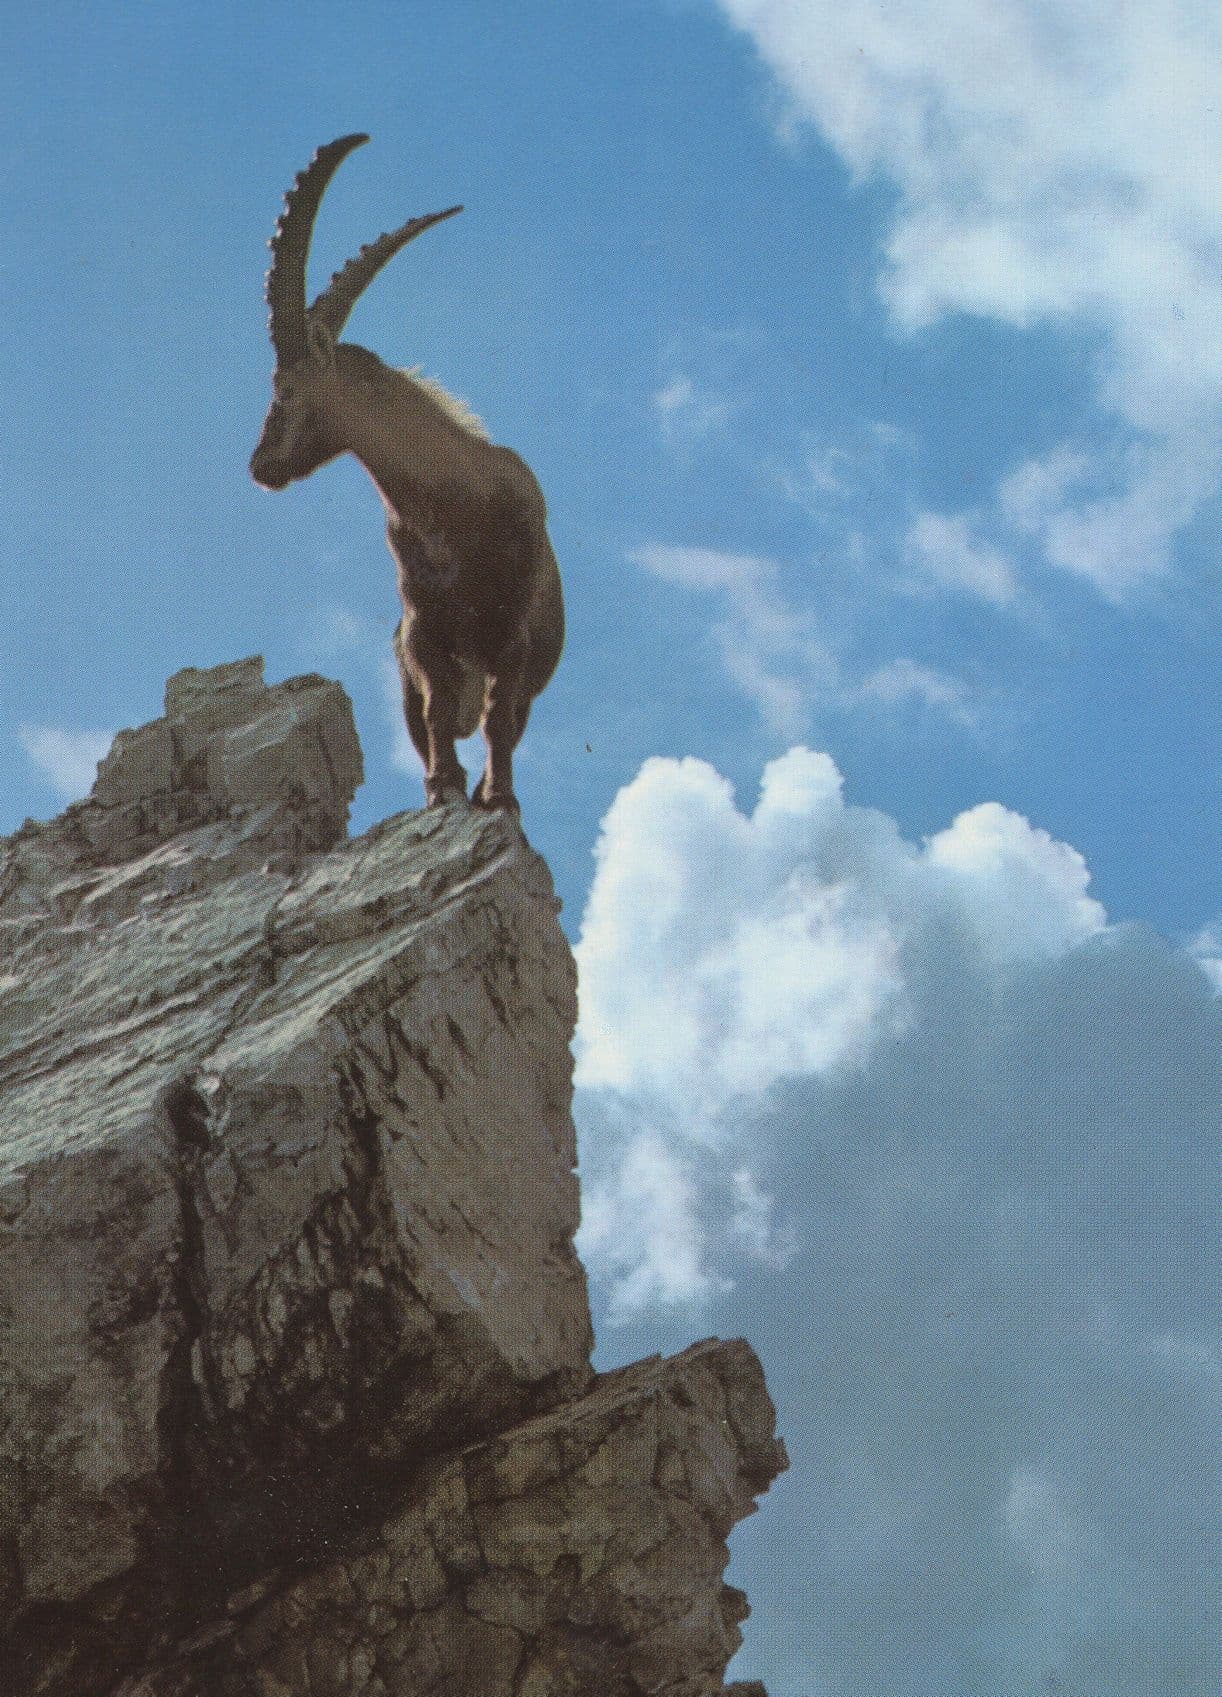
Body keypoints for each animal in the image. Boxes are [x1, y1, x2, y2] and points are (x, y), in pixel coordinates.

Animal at [250, 134, 564, 811]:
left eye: (284, 391)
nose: (260, 465)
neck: (452, 508)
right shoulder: (423, 631)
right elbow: (438, 710)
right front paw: (443, 787)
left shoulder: (513, 631)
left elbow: (499, 719)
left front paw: (499, 798)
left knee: (502, 721)